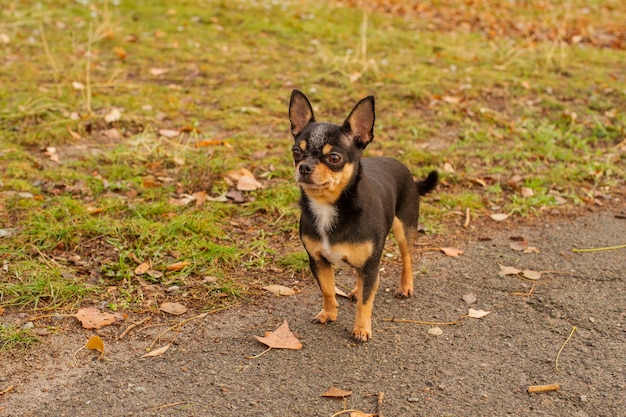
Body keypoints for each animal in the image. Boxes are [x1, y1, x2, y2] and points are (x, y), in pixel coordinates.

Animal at [286, 89, 436, 340]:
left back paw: (405, 286)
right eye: (296, 152)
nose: (303, 167)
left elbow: (366, 303)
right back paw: (356, 290)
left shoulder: (371, 265)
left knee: (407, 258)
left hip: (404, 229)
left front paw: (362, 329)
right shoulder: (318, 261)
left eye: (334, 158)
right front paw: (329, 313)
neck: (328, 205)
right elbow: (328, 290)